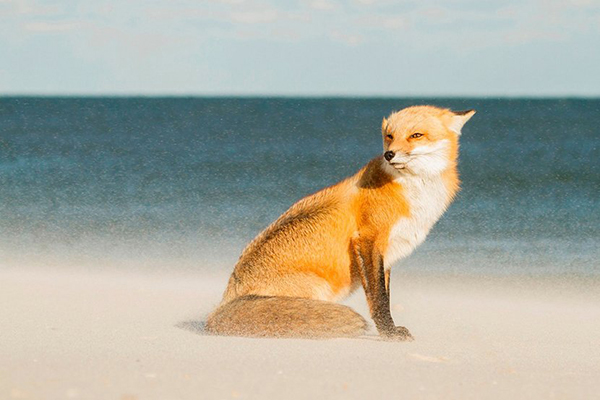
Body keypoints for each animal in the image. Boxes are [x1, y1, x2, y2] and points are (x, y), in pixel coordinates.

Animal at [204, 104, 476, 340]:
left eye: (416, 135)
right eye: (389, 136)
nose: (389, 154)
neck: (412, 191)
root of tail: (224, 301)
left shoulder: (388, 251)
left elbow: (385, 294)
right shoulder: (368, 240)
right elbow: (378, 299)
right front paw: (388, 333)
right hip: (319, 288)